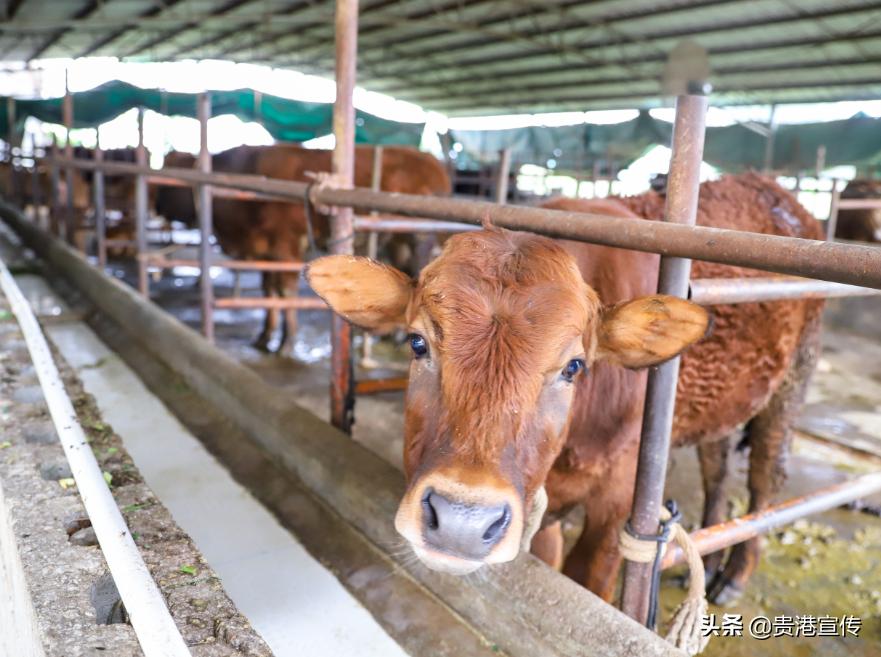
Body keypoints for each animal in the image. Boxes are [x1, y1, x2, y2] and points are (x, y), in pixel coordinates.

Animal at [152, 144, 450, 354]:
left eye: (174, 173)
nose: (156, 205)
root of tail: (429, 160)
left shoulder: (286, 249)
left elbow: (285, 293)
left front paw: (286, 341)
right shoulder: (266, 255)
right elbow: (268, 291)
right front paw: (265, 335)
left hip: (418, 239)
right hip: (396, 242)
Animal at [306, 172, 820, 604]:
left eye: (573, 367)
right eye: (417, 343)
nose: (462, 522)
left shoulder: (619, 504)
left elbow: (586, 578)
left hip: (794, 380)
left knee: (765, 477)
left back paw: (733, 574)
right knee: (717, 468)